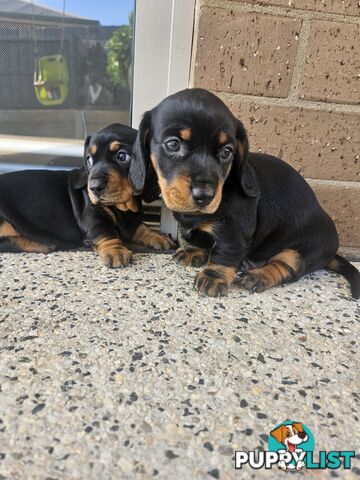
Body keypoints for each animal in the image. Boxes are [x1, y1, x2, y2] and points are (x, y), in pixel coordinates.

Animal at [0, 123, 174, 266]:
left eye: (122, 156)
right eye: (89, 159)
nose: (94, 188)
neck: (121, 206)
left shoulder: (132, 220)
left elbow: (142, 228)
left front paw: (159, 237)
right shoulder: (93, 217)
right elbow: (106, 232)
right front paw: (115, 251)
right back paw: (42, 243)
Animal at [129, 86, 360, 296]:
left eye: (226, 152)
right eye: (173, 144)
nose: (205, 196)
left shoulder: (233, 232)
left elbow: (224, 254)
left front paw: (214, 276)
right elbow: (198, 239)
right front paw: (193, 251)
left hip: (302, 252)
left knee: (286, 266)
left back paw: (257, 276)